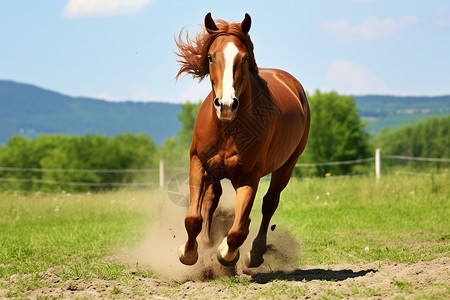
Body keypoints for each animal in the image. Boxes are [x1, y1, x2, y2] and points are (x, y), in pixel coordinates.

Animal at [175, 12, 310, 268]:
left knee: (269, 203)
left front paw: (226, 253)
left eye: (244, 58)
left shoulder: (249, 177)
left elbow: (237, 231)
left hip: (286, 167)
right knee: (211, 199)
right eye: (210, 57)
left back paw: (255, 253)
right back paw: (206, 241)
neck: (228, 129)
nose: (226, 105)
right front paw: (188, 252)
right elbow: (192, 218)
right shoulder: (198, 163)